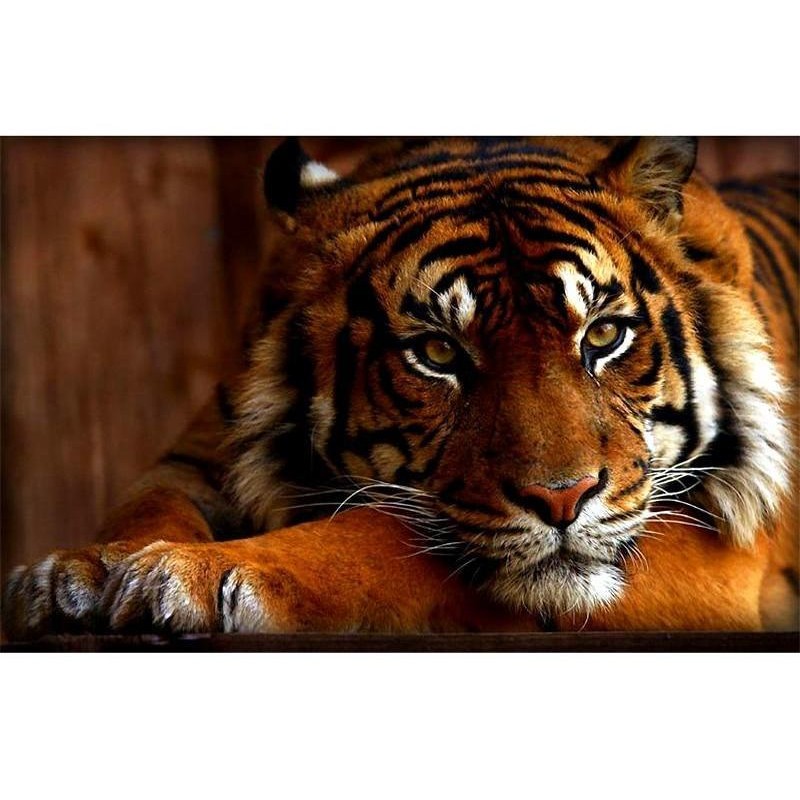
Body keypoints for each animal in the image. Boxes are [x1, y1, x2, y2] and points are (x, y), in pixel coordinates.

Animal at [3, 136, 798, 640]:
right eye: (439, 352)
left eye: (602, 336)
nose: (563, 499)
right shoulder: (200, 456)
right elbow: (146, 505)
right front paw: (74, 576)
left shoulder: (715, 546)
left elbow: (380, 533)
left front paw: (199, 574)